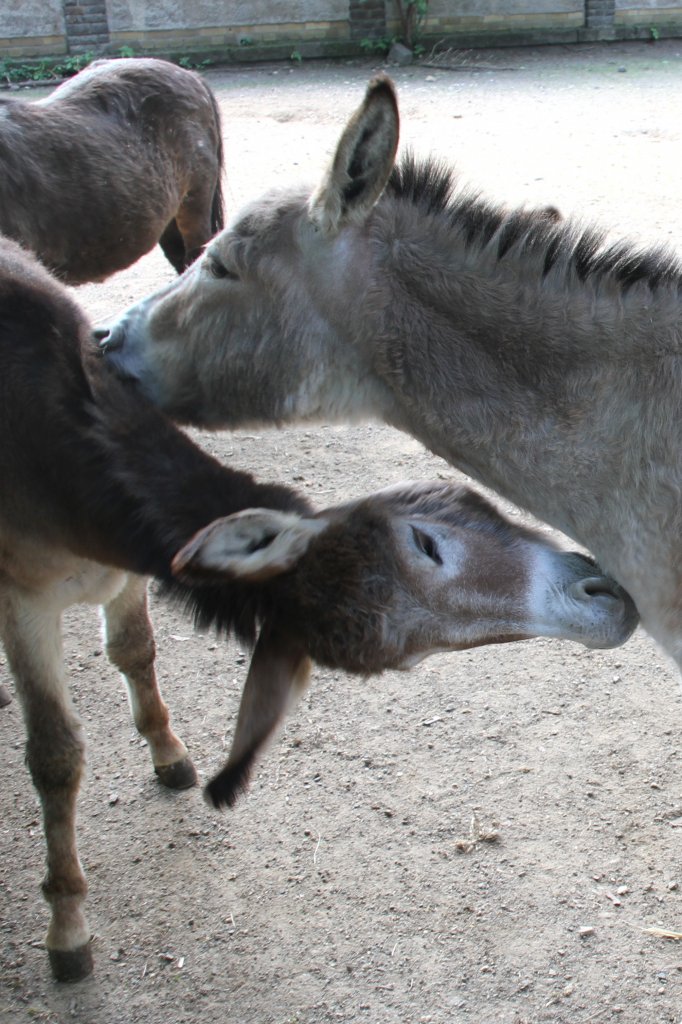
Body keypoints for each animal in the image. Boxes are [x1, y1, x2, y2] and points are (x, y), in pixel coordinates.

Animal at [2, 239, 634, 983]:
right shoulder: (23, 600)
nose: (605, 603)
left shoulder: (122, 569)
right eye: (424, 544)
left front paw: (167, 751)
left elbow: (133, 650)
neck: (53, 444)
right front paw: (67, 927)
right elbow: (55, 754)